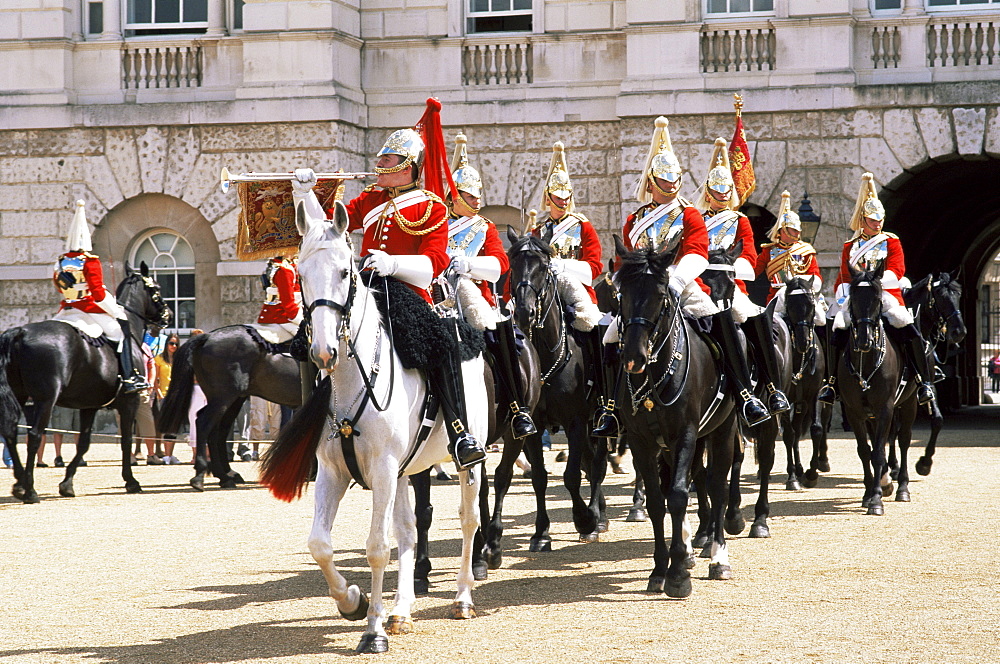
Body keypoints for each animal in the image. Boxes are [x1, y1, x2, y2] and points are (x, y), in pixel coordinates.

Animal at [0, 262, 171, 500]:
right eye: (157, 289)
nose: (168, 315)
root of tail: (20, 331)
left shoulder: (89, 406)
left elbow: (83, 442)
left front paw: (67, 484)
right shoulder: (130, 402)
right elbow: (126, 440)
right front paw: (131, 481)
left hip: (21, 396)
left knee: (11, 432)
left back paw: (20, 484)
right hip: (45, 400)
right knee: (34, 435)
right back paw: (31, 491)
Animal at [158, 326, 300, 488]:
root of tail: (208, 336)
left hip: (230, 400)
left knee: (217, 431)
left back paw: (225, 475)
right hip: (224, 398)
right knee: (204, 423)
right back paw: (202, 474)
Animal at [262, 201, 488, 652]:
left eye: (344, 273)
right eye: (301, 275)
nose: (323, 351)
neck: (355, 379)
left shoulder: (382, 468)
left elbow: (376, 548)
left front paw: (373, 630)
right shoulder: (334, 471)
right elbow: (320, 545)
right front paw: (353, 601)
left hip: (466, 461)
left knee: (468, 519)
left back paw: (462, 598)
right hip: (403, 472)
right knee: (409, 531)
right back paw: (401, 610)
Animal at [496, 228, 604, 556]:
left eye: (544, 267)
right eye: (513, 264)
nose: (524, 311)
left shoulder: (576, 422)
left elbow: (571, 475)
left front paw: (584, 519)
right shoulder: (534, 426)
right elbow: (540, 477)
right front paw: (541, 533)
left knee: (597, 464)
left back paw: (598, 518)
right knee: (591, 462)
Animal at [612, 237, 740, 596]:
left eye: (661, 294)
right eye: (621, 293)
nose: (634, 357)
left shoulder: (686, 433)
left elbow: (681, 494)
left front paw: (679, 576)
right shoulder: (641, 441)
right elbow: (659, 500)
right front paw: (662, 568)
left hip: (722, 430)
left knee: (717, 485)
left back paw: (717, 557)